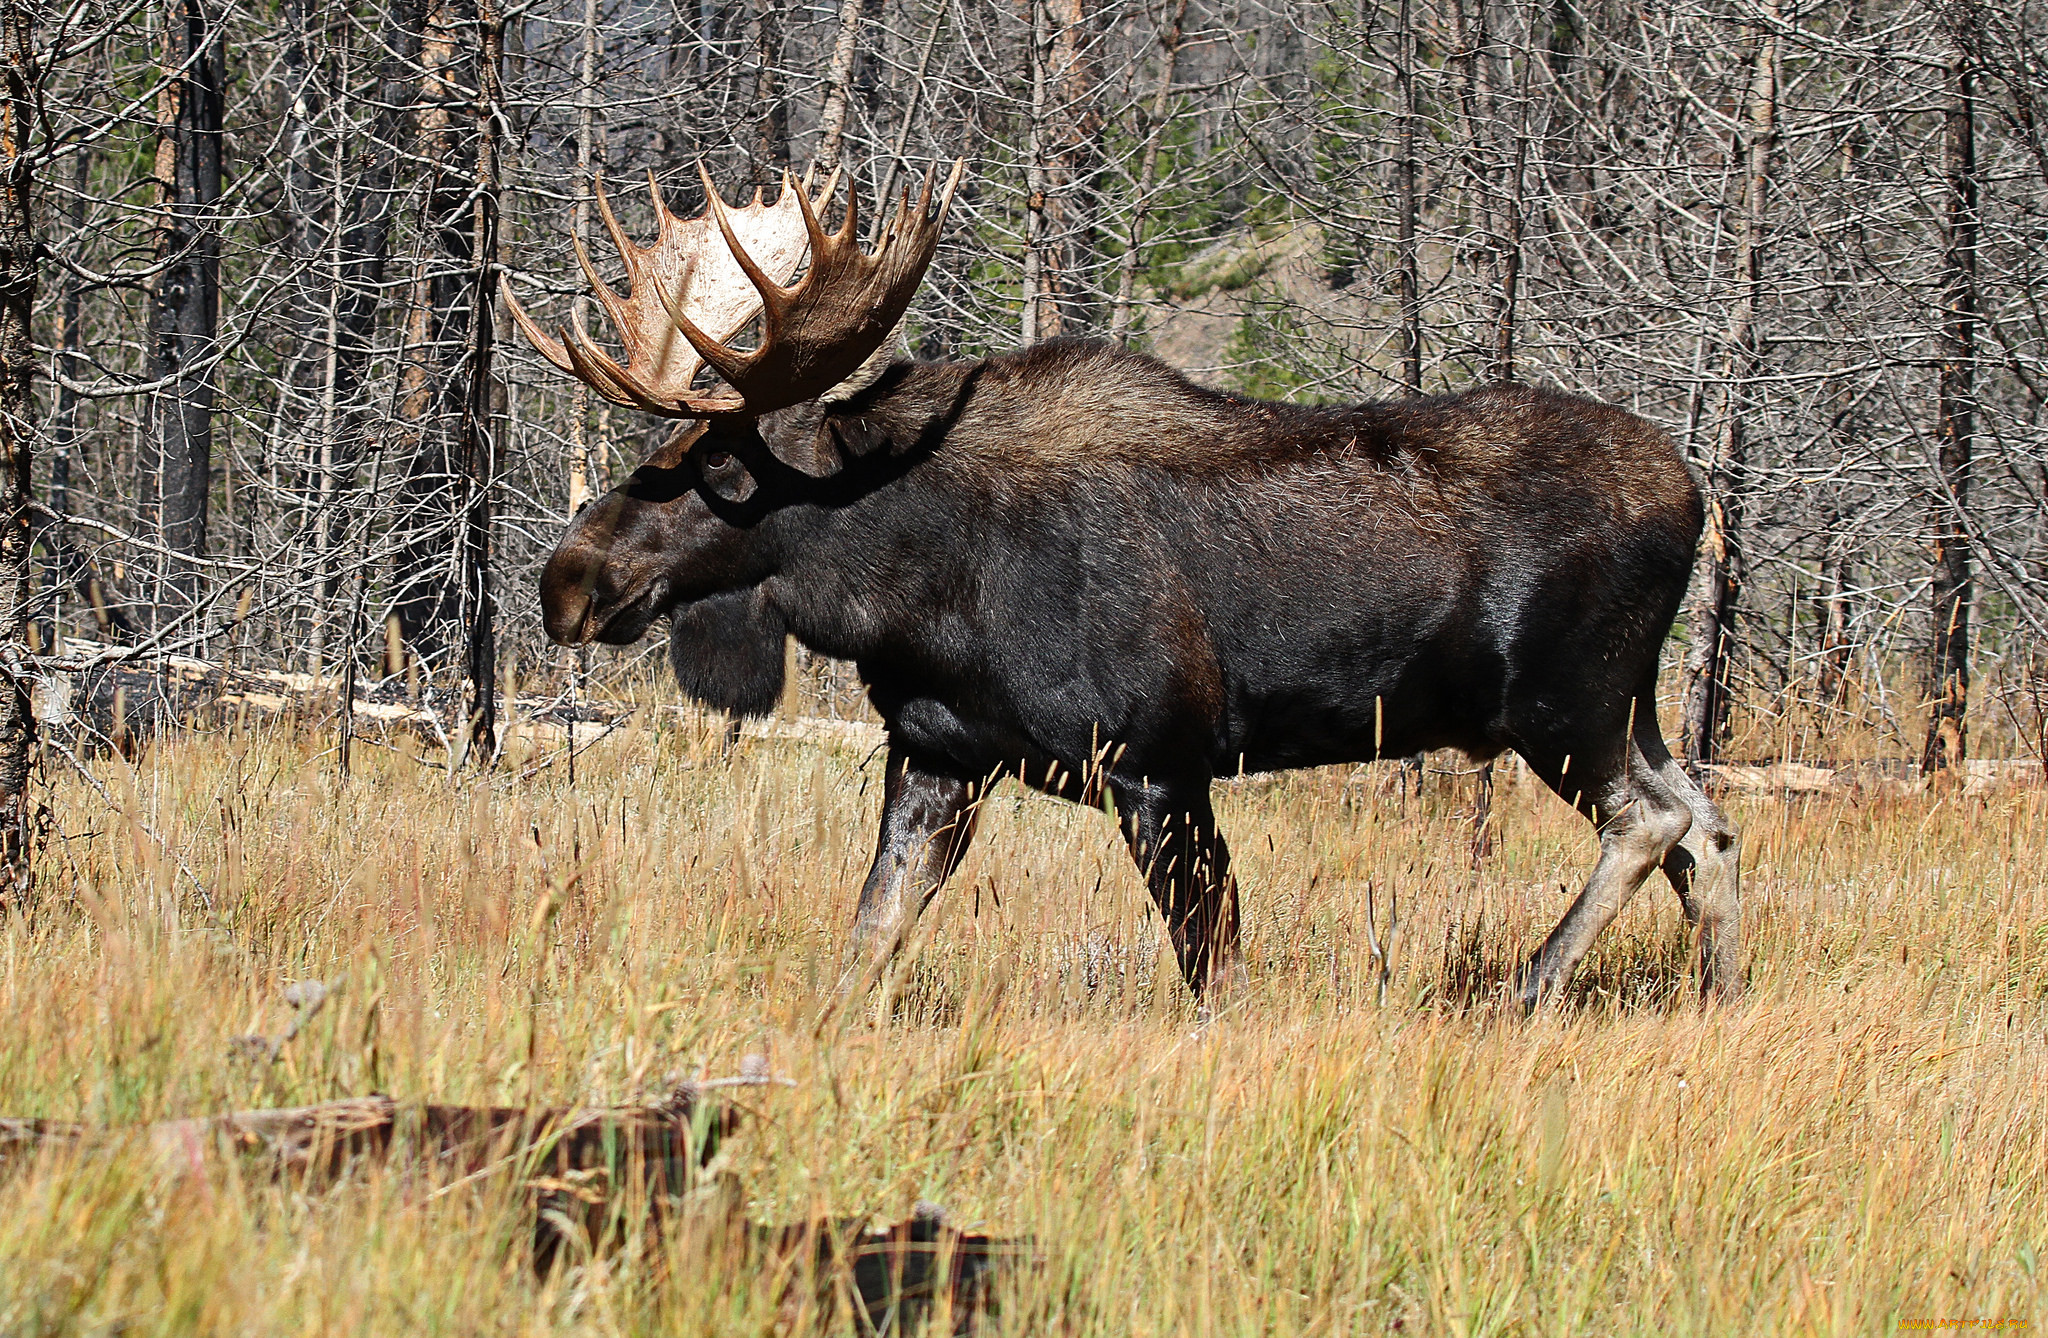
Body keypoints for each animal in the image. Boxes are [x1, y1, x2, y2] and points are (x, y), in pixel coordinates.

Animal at [512, 161, 1744, 1008]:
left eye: (716, 466)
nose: (564, 581)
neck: (915, 590)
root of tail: (1698, 499)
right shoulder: (939, 757)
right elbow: (867, 941)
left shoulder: (1158, 764)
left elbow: (1213, 969)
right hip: (1624, 703)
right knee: (1709, 826)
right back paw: (1717, 998)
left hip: (1561, 700)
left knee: (1652, 822)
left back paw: (1524, 987)